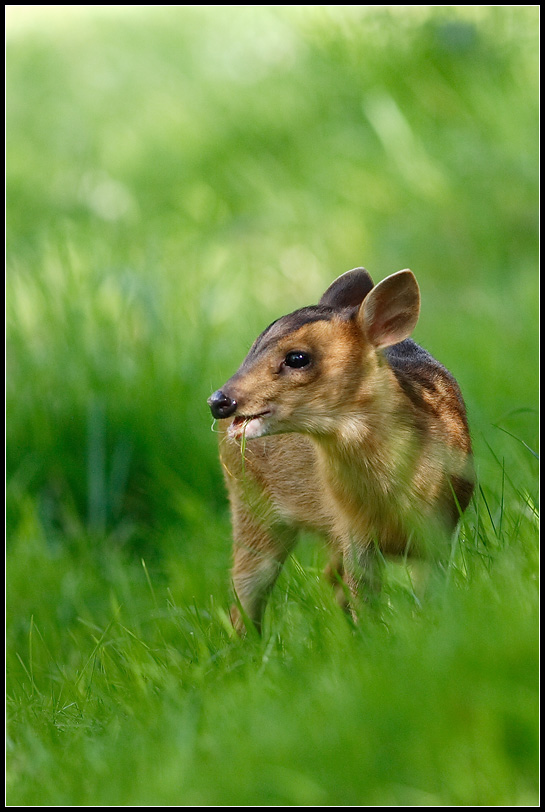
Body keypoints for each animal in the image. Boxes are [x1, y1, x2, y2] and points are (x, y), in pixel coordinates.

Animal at [208, 268, 472, 636]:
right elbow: (364, 597)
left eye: (297, 357)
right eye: (253, 348)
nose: (219, 401)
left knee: (328, 577)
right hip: (250, 504)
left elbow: (430, 596)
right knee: (245, 595)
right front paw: (375, 640)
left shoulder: (442, 527)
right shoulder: (355, 533)